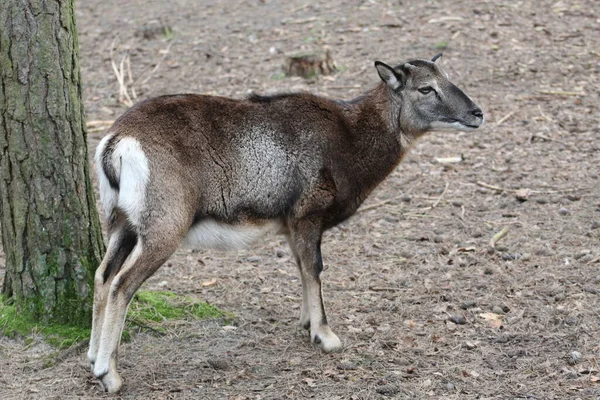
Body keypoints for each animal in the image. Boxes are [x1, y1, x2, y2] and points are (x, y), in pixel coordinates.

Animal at [88, 54, 482, 392]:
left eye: (448, 78)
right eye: (426, 88)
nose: (477, 114)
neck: (350, 139)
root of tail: (117, 143)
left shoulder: (292, 227)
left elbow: (302, 269)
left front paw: (307, 324)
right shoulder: (308, 216)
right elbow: (315, 268)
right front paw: (326, 336)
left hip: (122, 225)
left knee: (103, 275)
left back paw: (92, 358)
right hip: (162, 230)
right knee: (122, 285)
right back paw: (110, 376)